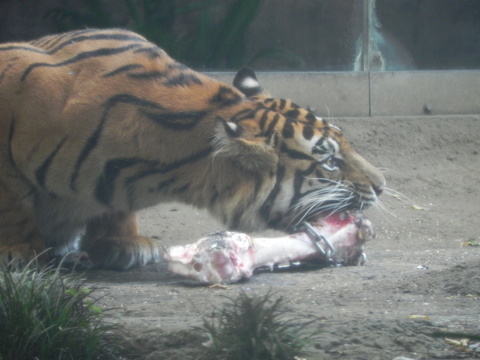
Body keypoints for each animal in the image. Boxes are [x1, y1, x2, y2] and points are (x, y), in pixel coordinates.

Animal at [0, 28, 386, 270]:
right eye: (330, 162)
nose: (382, 186)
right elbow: (14, 204)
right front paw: (20, 251)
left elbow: (115, 207)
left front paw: (124, 242)